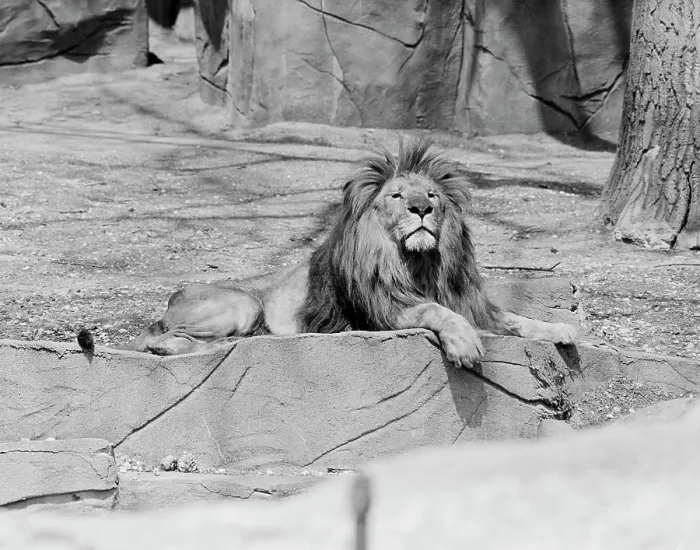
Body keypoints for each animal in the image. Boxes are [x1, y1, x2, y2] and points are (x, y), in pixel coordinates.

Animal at [85, 140, 576, 367]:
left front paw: (562, 330)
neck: (419, 262)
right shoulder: (386, 312)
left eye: (433, 196)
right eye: (398, 196)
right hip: (242, 303)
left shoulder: (472, 303)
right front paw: (465, 344)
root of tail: (172, 298)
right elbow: (437, 313)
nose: (420, 209)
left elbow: (516, 319)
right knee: (161, 340)